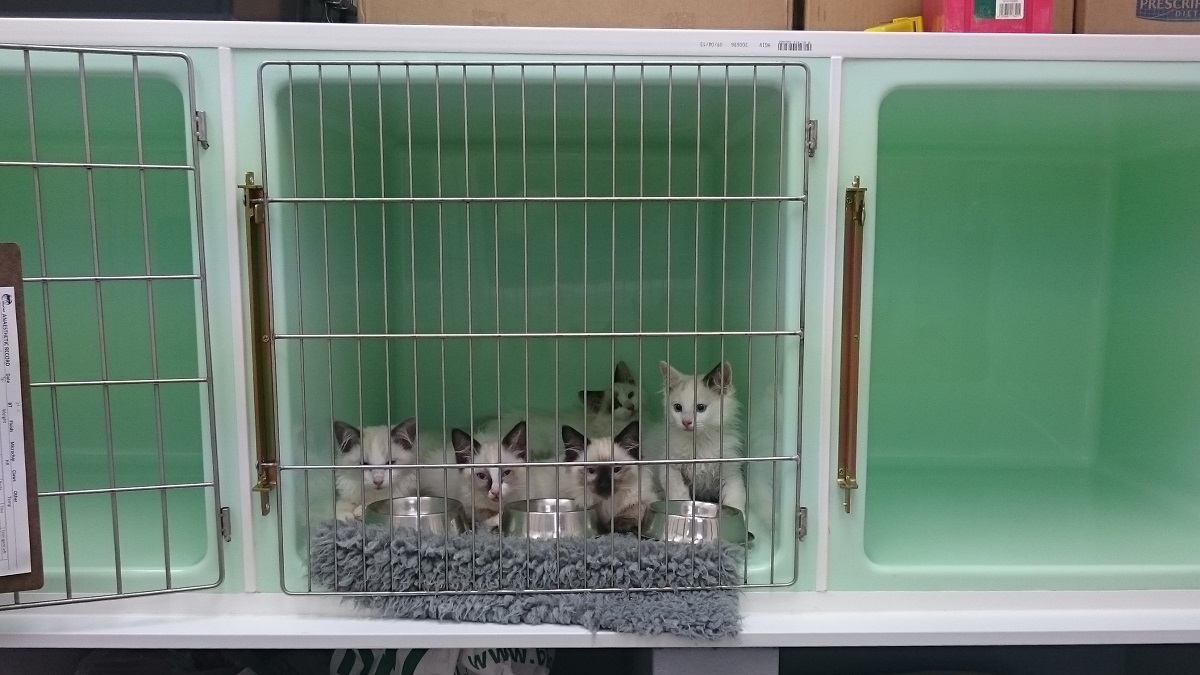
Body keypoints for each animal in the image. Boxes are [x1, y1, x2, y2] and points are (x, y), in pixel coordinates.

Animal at [645, 361, 746, 514]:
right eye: (678, 407)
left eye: (701, 408)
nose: (686, 422)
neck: (699, 442)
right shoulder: (669, 466)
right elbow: (678, 492)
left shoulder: (731, 472)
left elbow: (736, 499)